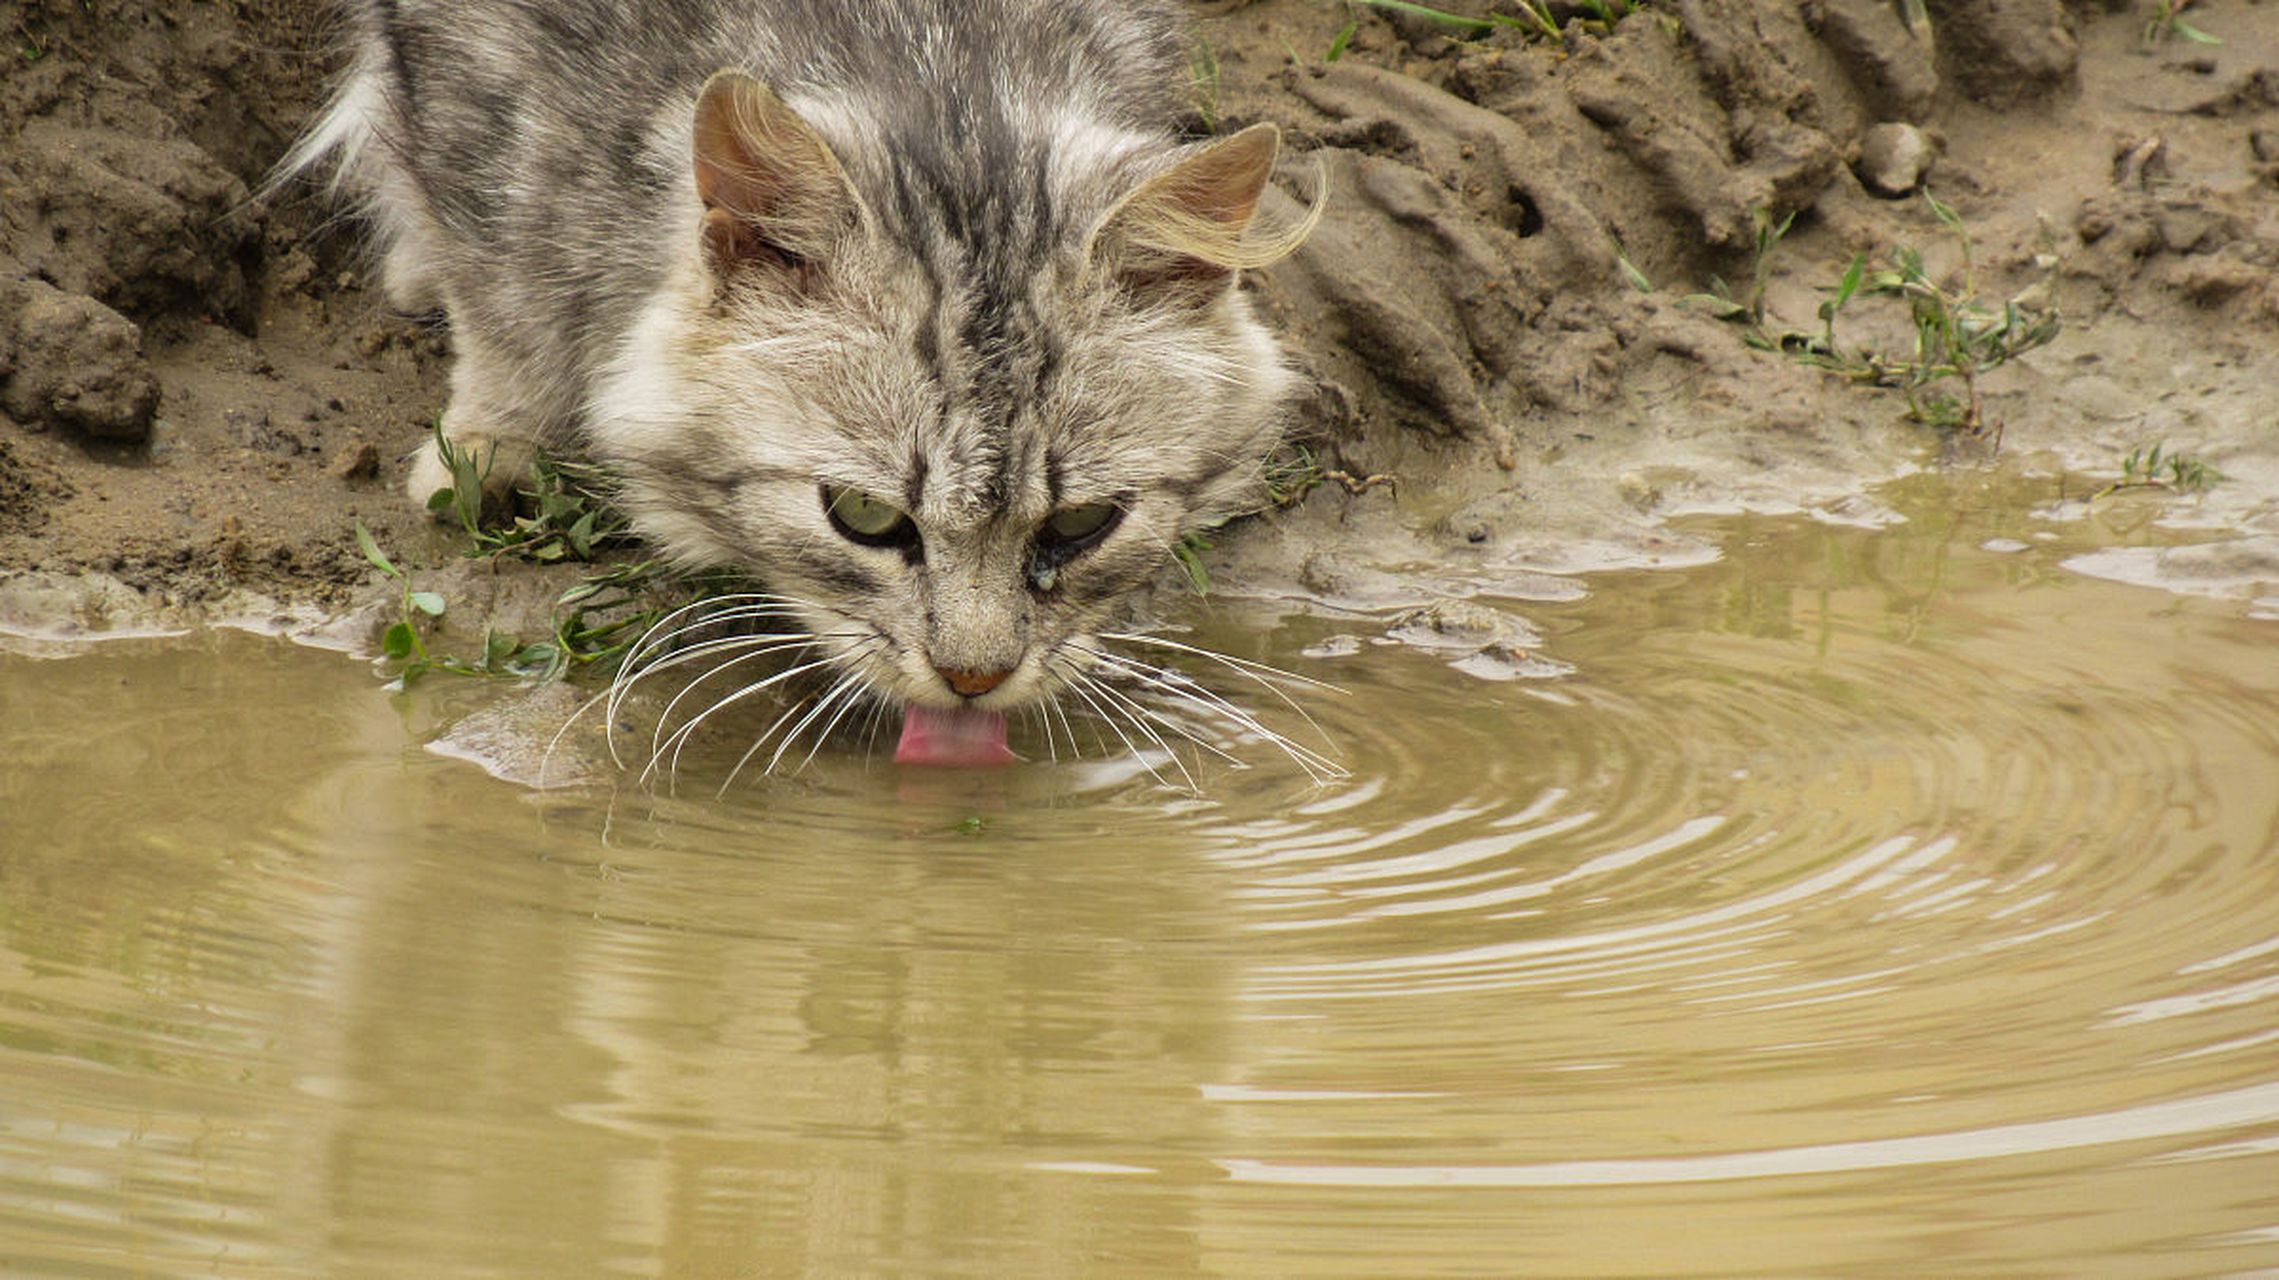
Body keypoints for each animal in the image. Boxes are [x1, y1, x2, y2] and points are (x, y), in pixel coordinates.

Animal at [282, 0, 1321, 765]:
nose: (973, 681)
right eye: (863, 518)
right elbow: (498, 291)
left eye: (1081, 524)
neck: (935, 56)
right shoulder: (469, 87)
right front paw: (488, 446)